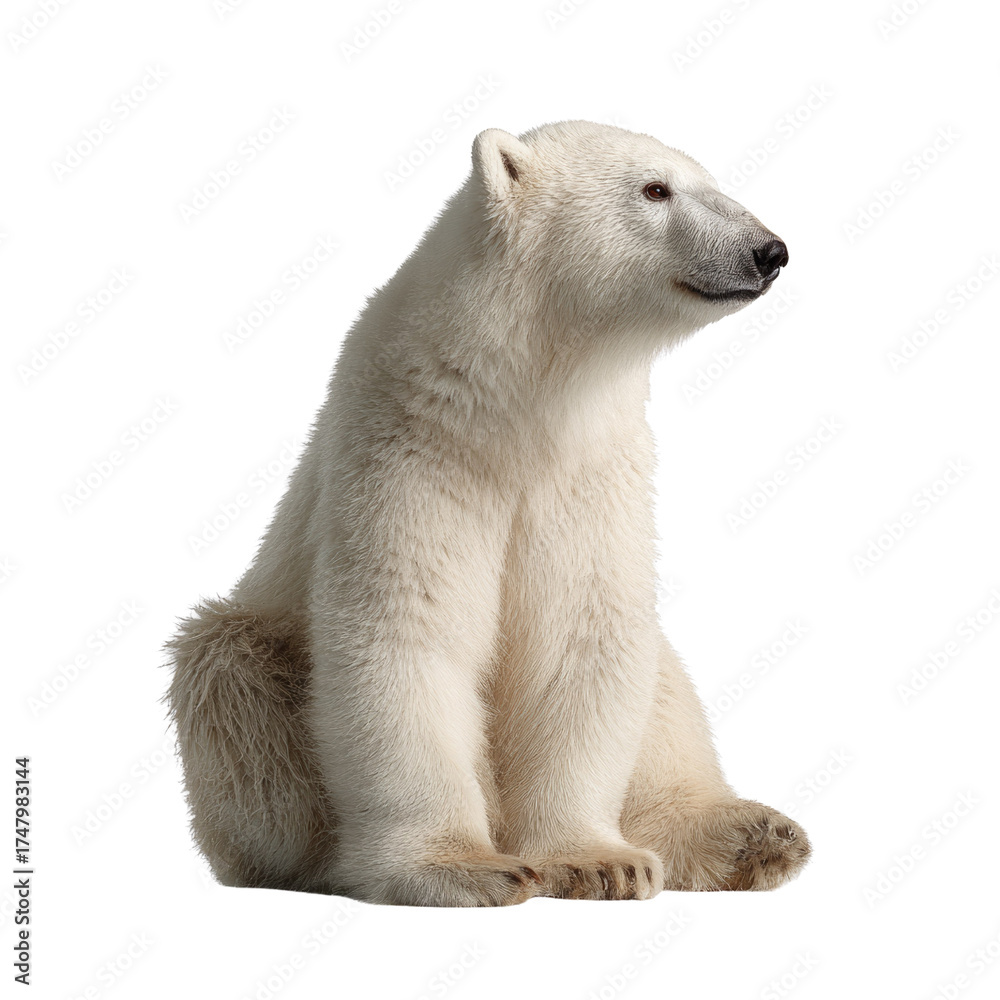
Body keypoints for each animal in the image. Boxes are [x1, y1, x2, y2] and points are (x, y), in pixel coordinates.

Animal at [167, 120, 810, 906]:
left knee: (661, 686)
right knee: (229, 672)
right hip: (253, 671)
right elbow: (409, 629)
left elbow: (582, 638)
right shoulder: (413, 447)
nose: (769, 251)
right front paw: (468, 868)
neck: (515, 402)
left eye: (710, 181)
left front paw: (598, 861)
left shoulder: (590, 473)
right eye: (655, 189)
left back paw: (748, 834)